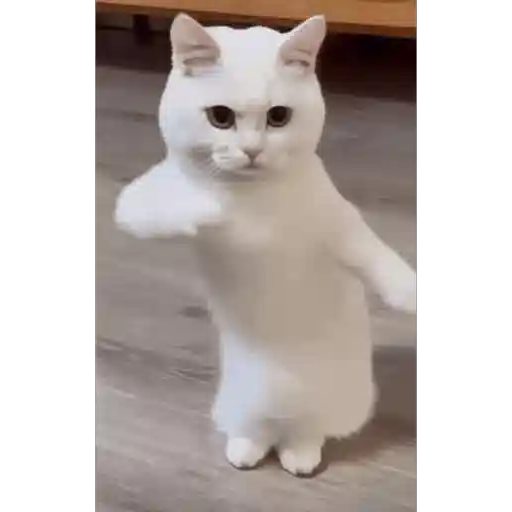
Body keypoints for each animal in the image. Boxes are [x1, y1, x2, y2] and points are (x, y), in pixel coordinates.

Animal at [115, 13, 417, 477]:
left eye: (279, 117)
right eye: (220, 117)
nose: (252, 151)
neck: (255, 195)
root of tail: (279, 424)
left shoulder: (336, 221)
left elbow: (372, 253)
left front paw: (410, 294)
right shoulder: (144, 199)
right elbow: (152, 207)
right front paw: (212, 210)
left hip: (326, 404)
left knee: (307, 433)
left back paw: (300, 457)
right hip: (243, 403)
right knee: (255, 432)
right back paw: (246, 450)